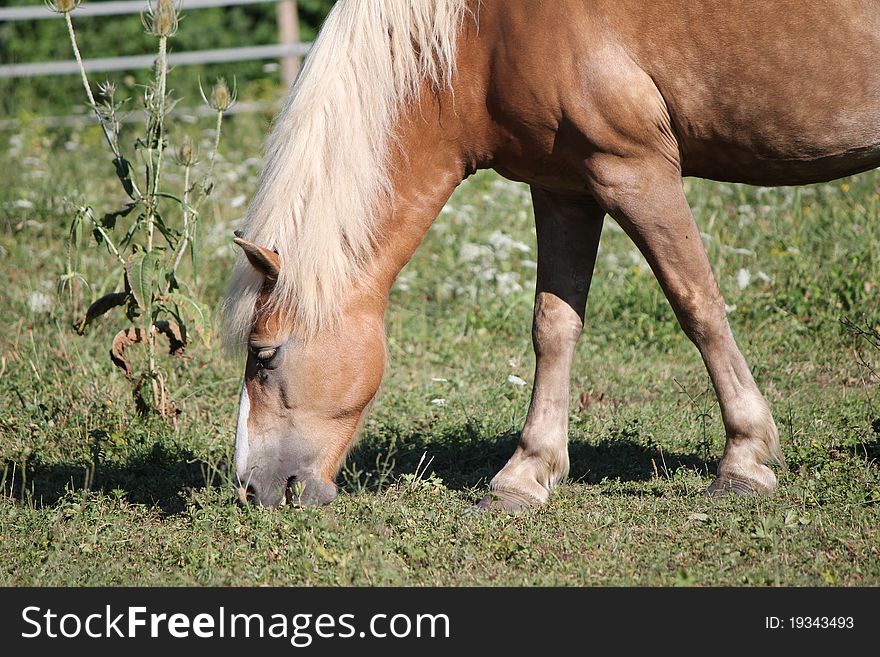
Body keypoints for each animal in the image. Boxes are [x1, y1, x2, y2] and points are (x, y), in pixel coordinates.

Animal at [223, 0, 880, 510]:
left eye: (263, 357)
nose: (253, 490)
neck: (483, 31)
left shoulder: (635, 170)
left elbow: (698, 305)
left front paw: (744, 462)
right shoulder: (565, 185)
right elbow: (554, 325)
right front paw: (526, 474)